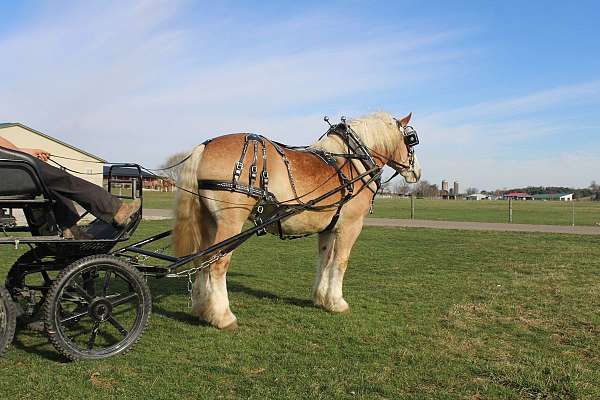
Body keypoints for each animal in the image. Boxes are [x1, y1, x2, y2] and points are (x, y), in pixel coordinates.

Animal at [171, 111, 420, 330]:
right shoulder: (350, 226)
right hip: (230, 224)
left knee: (202, 259)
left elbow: (324, 261)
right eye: (411, 140)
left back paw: (203, 309)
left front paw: (321, 298)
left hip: (208, 222)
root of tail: (205, 146)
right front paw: (337, 302)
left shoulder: (329, 228)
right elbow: (340, 262)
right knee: (217, 263)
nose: (416, 172)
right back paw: (223, 316)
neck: (353, 163)